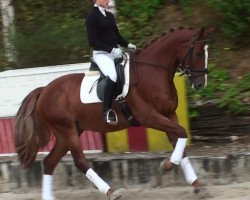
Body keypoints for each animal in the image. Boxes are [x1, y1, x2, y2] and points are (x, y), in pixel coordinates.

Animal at [14, 27, 213, 200]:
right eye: (198, 53)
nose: (200, 84)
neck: (152, 71)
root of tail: (44, 90)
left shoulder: (169, 114)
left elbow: (181, 142)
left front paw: (196, 185)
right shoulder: (150, 116)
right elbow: (182, 133)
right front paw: (167, 165)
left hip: (70, 132)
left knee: (49, 162)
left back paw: (49, 197)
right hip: (66, 130)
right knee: (79, 161)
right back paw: (111, 192)